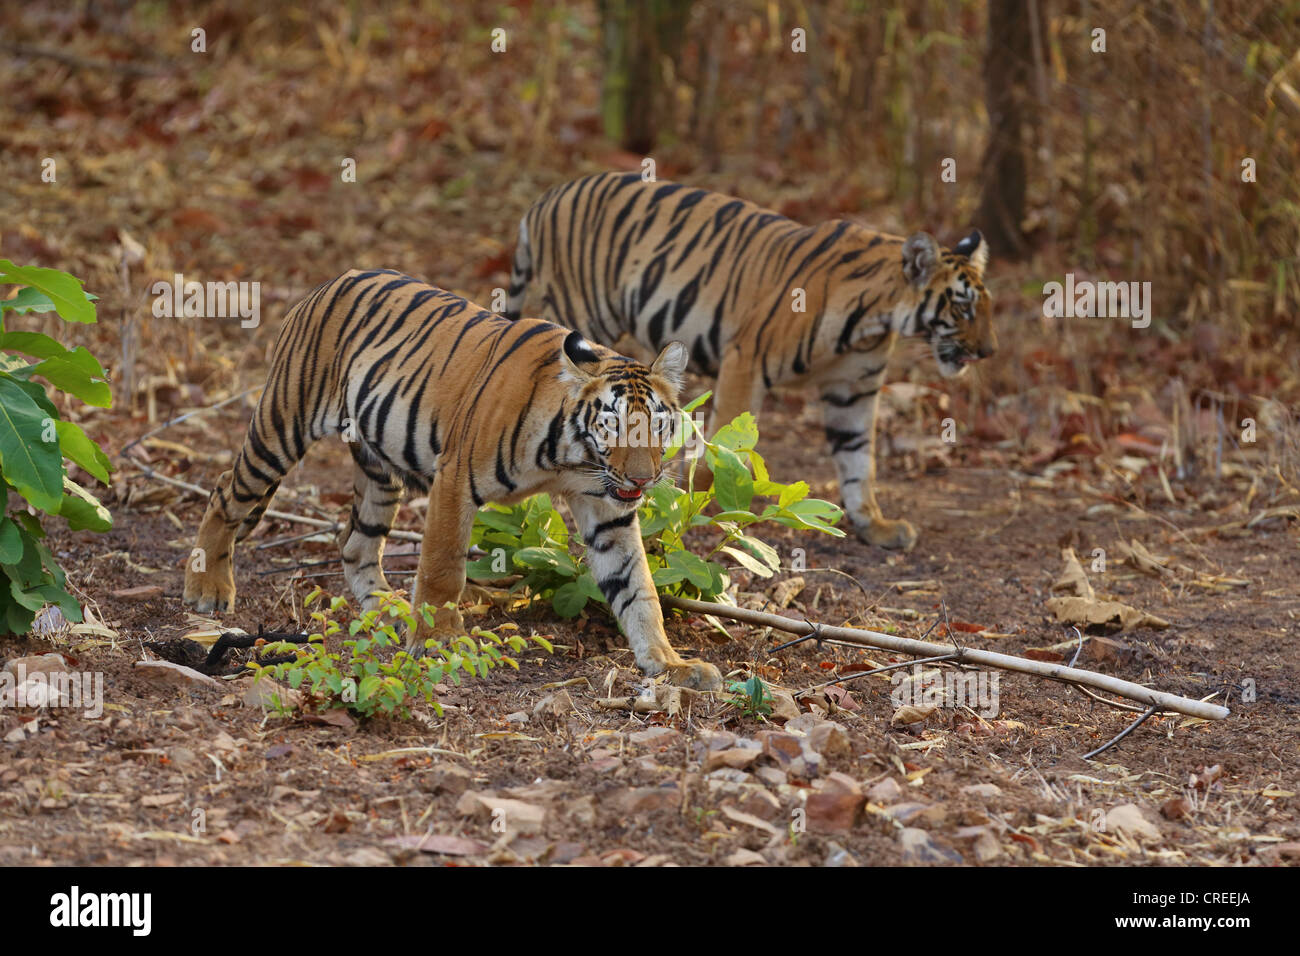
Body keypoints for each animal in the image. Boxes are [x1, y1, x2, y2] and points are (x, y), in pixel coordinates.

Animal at [182, 265, 722, 691]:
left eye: (657, 425)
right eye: (612, 424)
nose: (644, 479)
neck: (573, 457)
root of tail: (330, 282)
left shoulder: (608, 510)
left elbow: (638, 591)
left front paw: (670, 664)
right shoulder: (455, 479)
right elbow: (443, 567)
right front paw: (438, 638)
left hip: (380, 471)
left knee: (356, 543)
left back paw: (387, 609)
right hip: (283, 424)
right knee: (226, 492)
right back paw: (207, 586)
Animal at [504, 167, 993, 548]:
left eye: (985, 306)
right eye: (963, 307)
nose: (989, 352)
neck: (874, 320)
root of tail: (545, 198)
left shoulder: (853, 390)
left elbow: (859, 461)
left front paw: (876, 525)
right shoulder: (747, 358)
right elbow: (722, 442)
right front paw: (694, 505)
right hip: (582, 315)